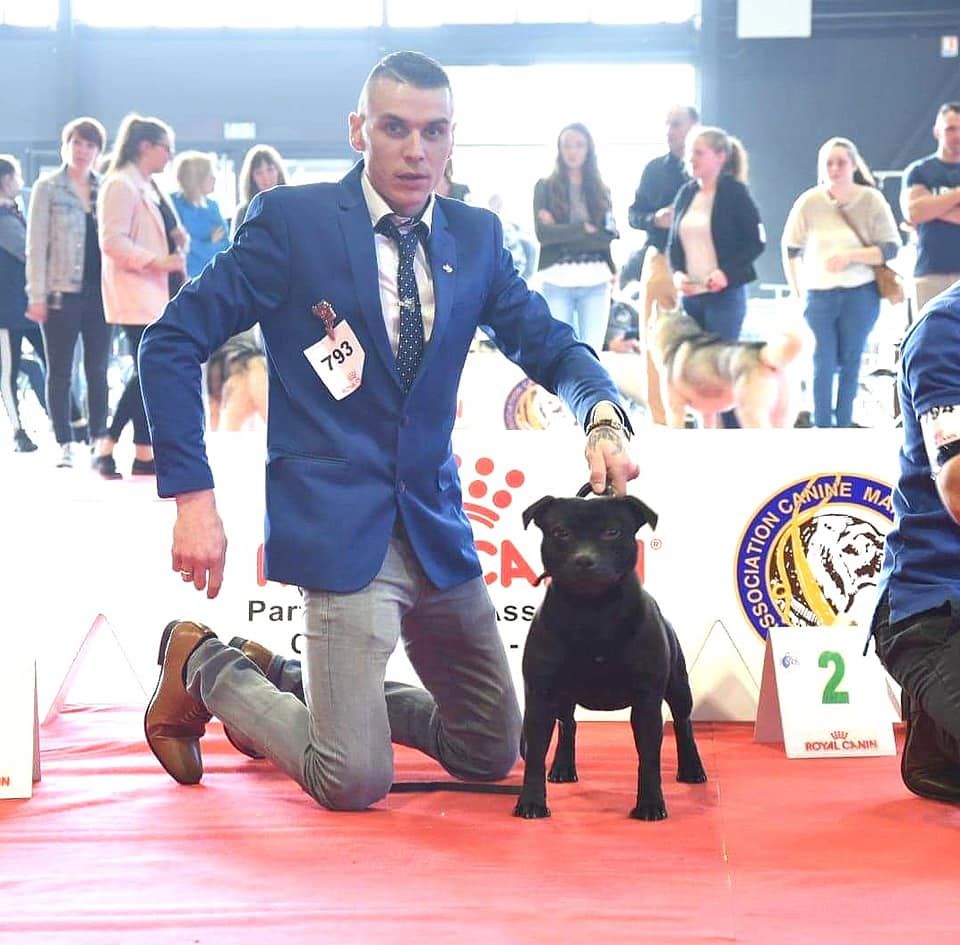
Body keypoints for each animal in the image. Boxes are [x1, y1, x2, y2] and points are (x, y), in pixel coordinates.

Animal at [516, 494, 704, 820]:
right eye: (560, 532)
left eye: (612, 532)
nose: (584, 560)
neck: (593, 611)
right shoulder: (540, 694)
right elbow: (536, 754)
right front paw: (531, 802)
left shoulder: (646, 699)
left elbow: (649, 758)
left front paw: (650, 804)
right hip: (563, 697)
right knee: (568, 724)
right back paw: (562, 767)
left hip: (679, 687)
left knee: (683, 722)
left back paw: (692, 768)